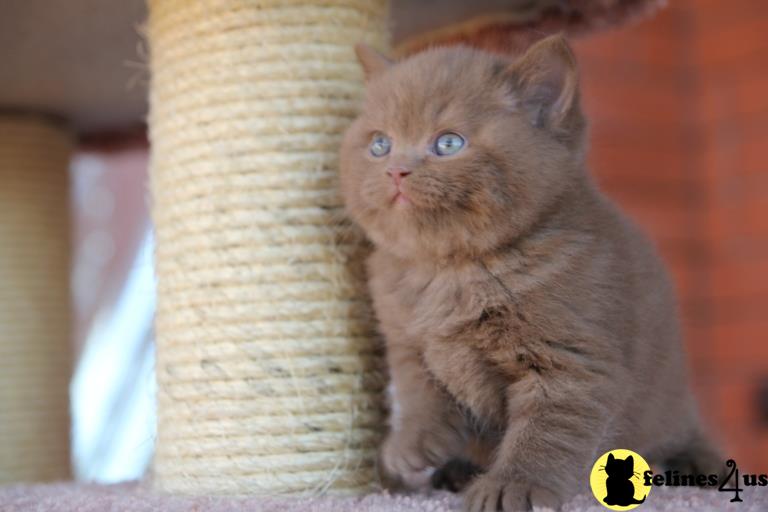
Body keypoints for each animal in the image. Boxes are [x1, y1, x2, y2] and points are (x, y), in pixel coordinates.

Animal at [340, 36, 724, 512]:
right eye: (379, 145)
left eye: (448, 143)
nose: (396, 170)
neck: (450, 272)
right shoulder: (409, 346)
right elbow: (418, 395)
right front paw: (412, 444)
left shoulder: (569, 361)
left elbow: (544, 434)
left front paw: (512, 487)